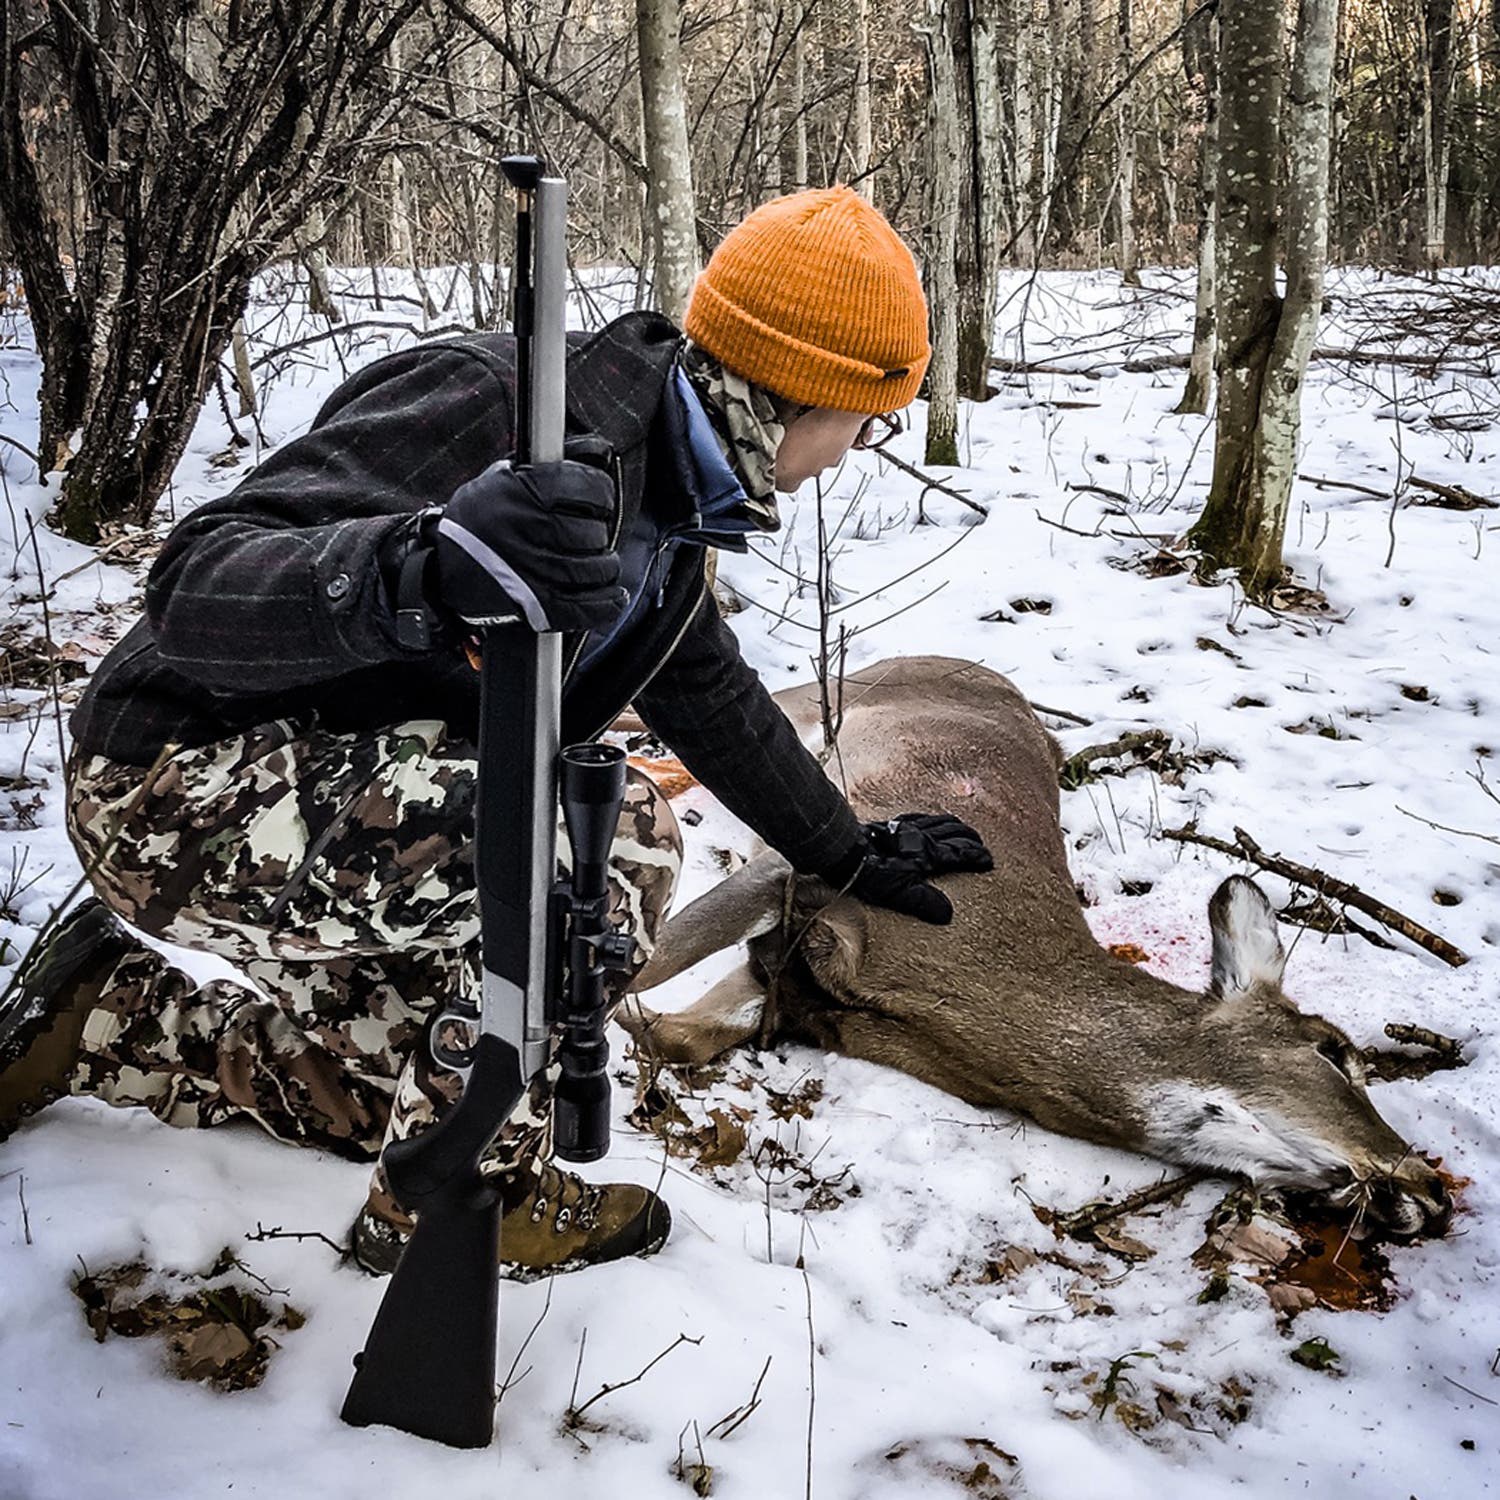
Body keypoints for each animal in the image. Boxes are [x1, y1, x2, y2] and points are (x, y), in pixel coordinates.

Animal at [622, 656, 1453, 1239]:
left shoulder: (799, 994)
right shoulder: (812, 877)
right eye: (1332, 1051)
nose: (1434, 1187)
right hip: (825, 689)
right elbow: (655, 963)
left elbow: (680, 1034)